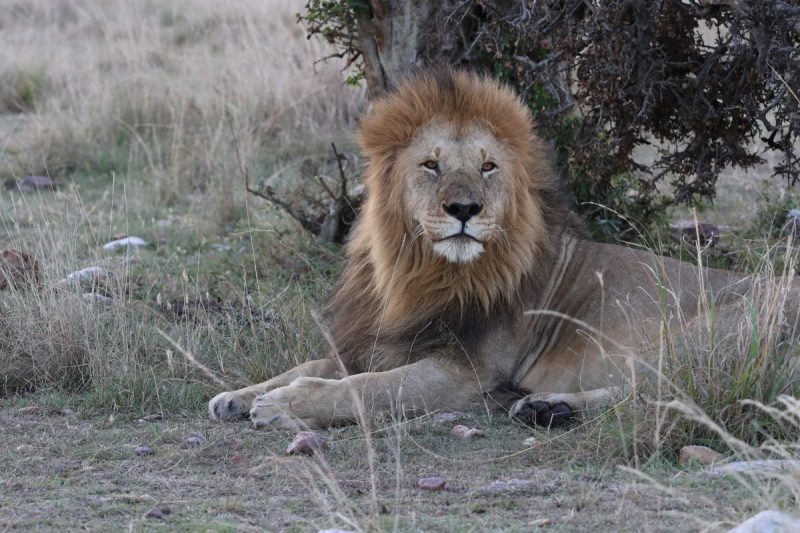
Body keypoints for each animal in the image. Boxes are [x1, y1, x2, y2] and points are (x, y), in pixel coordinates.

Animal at [209, 69, 792, 429]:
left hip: (700, 337)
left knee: (669, 392)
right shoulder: (379, 340)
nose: (465, 208)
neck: (416, 273)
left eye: (487, 167)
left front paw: (285, 404)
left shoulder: (464, 372)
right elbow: (315, 362)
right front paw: (238, 395)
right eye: (431, 165)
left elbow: (368, 388)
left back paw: (548, 407)